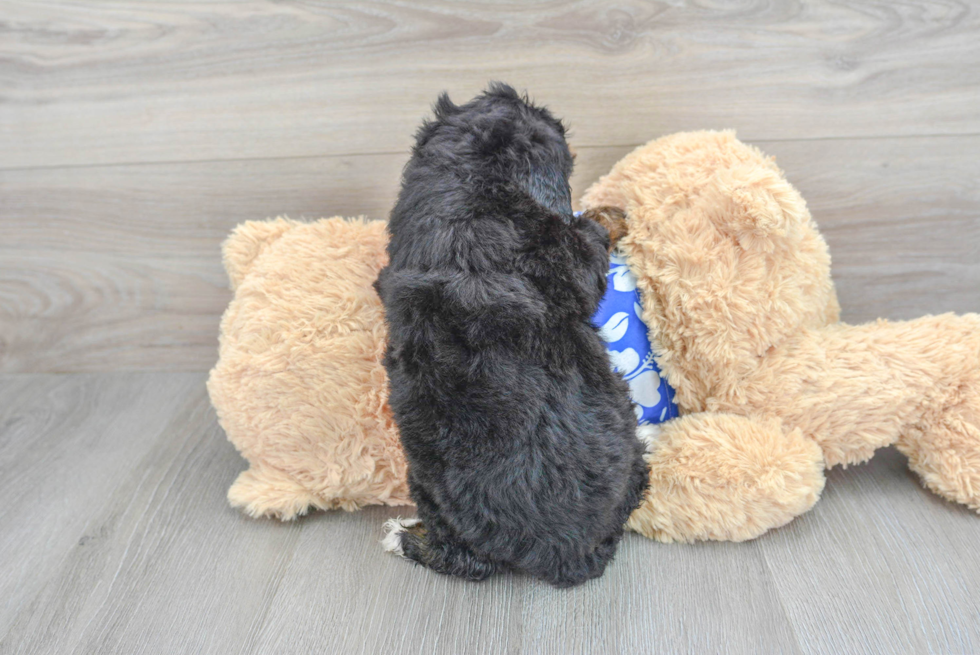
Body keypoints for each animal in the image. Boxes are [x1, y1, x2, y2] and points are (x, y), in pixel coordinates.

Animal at [372, 83, 648, 588]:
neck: (464, 188)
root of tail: (560, 556)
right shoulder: (567, 255)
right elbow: (588, 239)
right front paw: (610, 214)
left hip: (425, 480)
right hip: (631, 451)